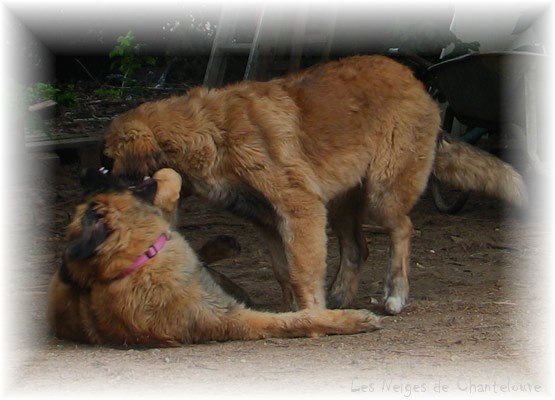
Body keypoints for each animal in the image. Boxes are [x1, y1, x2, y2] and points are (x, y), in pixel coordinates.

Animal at [47, 167, 380, 346]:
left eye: (87, 188)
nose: (83, 173)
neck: (139, 260)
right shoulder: (236, 320)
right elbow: (300, 319)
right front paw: (351, 319)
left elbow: (170, 183)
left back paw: (223, 245)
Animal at [101, 54, 528, 314]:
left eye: (108, 163)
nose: (94, 185)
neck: (208, 133)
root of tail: (414, 80)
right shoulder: (267, 220)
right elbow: (283, 269)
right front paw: (297, 311)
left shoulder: (299, 207)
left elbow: (303, 267)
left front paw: (309, 311)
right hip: (341, 202)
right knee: (358, 247)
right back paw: (340, 296)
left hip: (382, 192)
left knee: (403, 228)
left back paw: (395, 293)